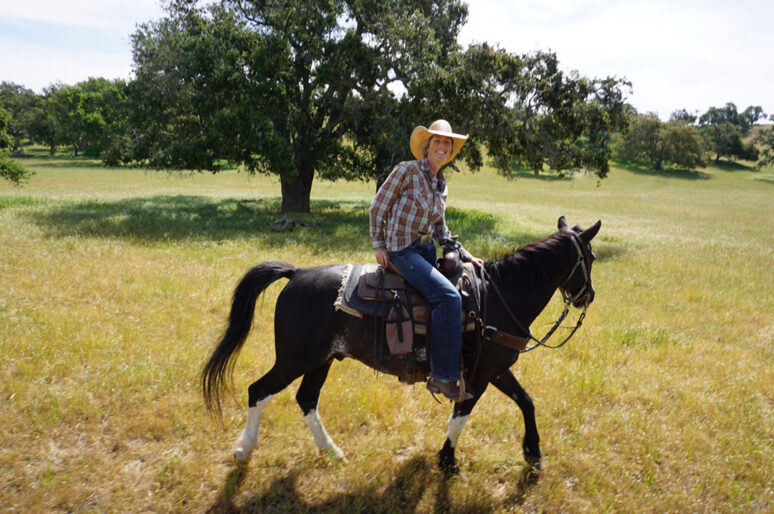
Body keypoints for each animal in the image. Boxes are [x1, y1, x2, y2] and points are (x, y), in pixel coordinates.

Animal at [200, 214, 600, 470]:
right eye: (592, 257)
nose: (588, 297)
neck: (498, 297)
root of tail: (296, 273)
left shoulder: (495, 369)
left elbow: (526, 402)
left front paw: (533, 453)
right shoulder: (479, 375)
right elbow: (461, 415)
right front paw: (447, 461)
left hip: (322, 360)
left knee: (306, 399)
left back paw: (332, 452)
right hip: (294, 359)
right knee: (258, 390)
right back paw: (244, 451)